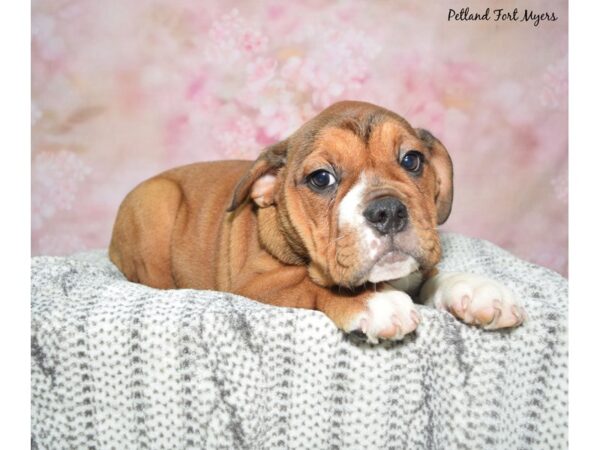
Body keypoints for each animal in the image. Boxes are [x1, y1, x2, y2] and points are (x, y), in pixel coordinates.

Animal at [109, 100, 524, 342]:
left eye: (412, 160)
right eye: (321, 178)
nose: (388, 211)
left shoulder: (415, 268)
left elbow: (433, 275)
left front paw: (477, 290)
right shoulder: (257, 284)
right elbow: (309, 284)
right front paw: (374, 301)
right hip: (156, 203)